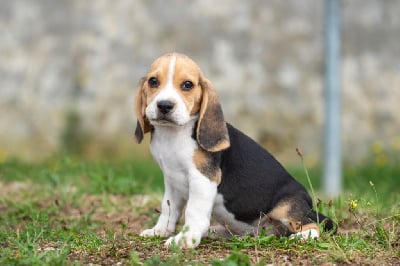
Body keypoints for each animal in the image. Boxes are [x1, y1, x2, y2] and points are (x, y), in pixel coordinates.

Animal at [134, 53, 334, 248]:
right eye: (153, 81)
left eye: (187, 85)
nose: (164, 105)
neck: (174, 134)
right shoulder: (172, 179)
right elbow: (168, 208)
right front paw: (159, 231)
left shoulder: (202, 179)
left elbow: (193, 211)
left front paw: (185, 239)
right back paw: (216, 232)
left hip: (285, 208)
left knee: (315, 225)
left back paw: (302, 237)